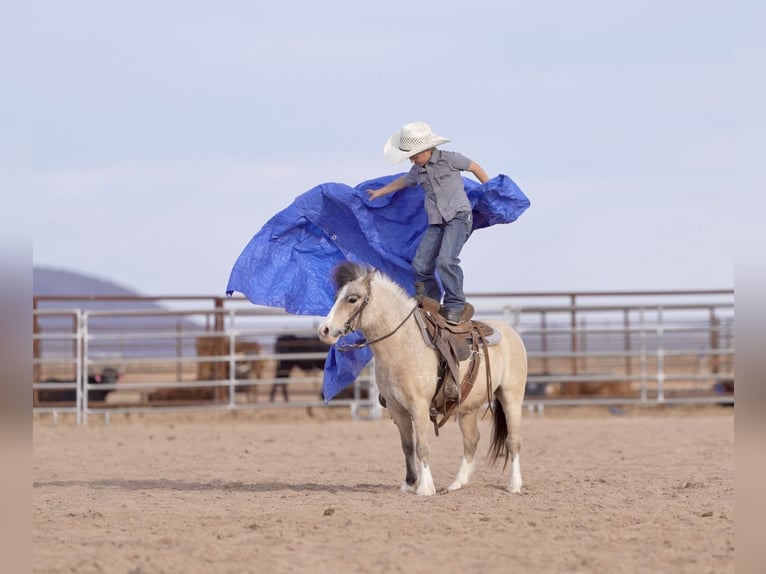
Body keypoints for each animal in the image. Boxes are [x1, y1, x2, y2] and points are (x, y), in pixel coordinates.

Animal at [318, 262, 528, 496]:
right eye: (337, 296)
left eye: (352, 298)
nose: (324, 330)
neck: (402, 343)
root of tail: (511, 333)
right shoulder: (397, 409)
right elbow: (407, 446)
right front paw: (409, 483)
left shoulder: (419, 405)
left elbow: (422, 447)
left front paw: (425, 487)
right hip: (468, 408)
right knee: (471, 441)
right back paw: (457, 483)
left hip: (511, 397)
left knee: (513, 440)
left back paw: (514, 485)